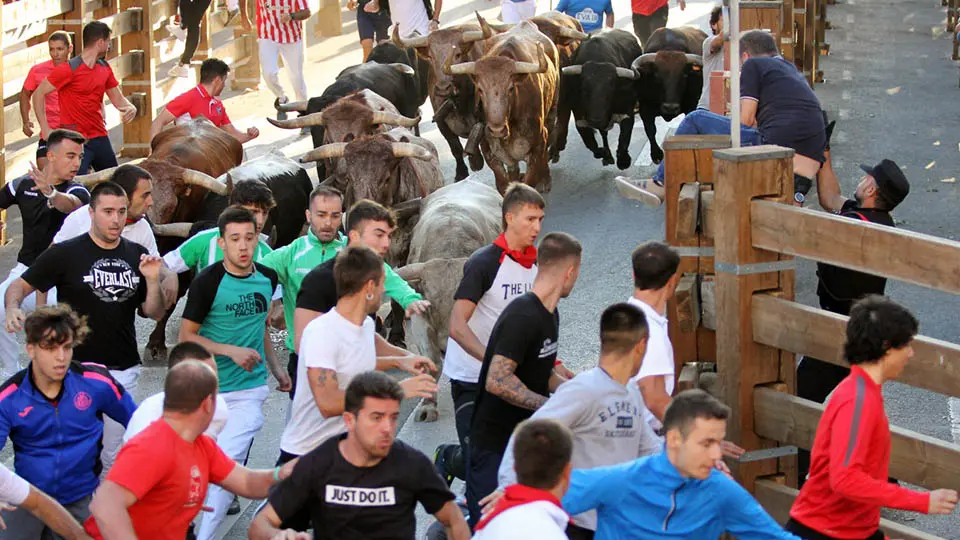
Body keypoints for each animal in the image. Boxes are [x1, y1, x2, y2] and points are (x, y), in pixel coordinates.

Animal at [450, 13, 564, 195]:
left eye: (510, 88)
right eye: (480, 89)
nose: (497, 129)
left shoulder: (539, 143)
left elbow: (531, 178)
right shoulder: (489, 150)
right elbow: (503, 182)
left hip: (552, 110)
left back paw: (545, 179)